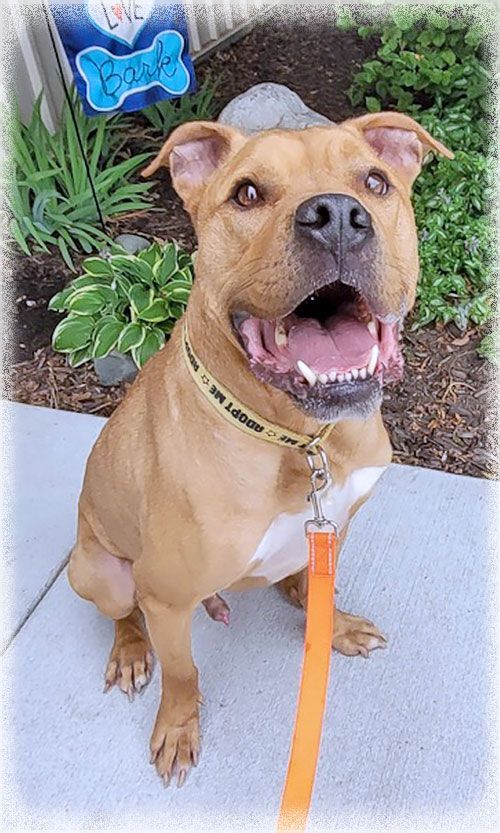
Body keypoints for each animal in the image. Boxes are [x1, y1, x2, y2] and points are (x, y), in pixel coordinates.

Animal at [67, 114, 454, 784]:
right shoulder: (164, 595)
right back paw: (132, 652)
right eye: (247, 194)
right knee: (123, 614)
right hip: (100, 572)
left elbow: (320, 589)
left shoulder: (337, 525)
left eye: (376, 181)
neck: (300, 441)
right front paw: (178, 728)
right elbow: (183, 673)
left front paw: (335, 628)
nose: (336, 215)